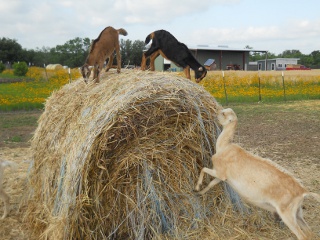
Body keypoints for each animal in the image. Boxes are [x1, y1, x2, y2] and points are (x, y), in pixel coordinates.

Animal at [195, 108, 320, 239]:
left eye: (223, 113)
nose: (214, 114)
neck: (224, 147)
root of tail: (303, 192)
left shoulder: (219, 172)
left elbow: (203, 169)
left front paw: (197, 187)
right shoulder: (222, 177)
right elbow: (211, 184)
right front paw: (198, 192)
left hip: (287, 213)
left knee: (302, 235)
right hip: (297, 213)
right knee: (310, 233)